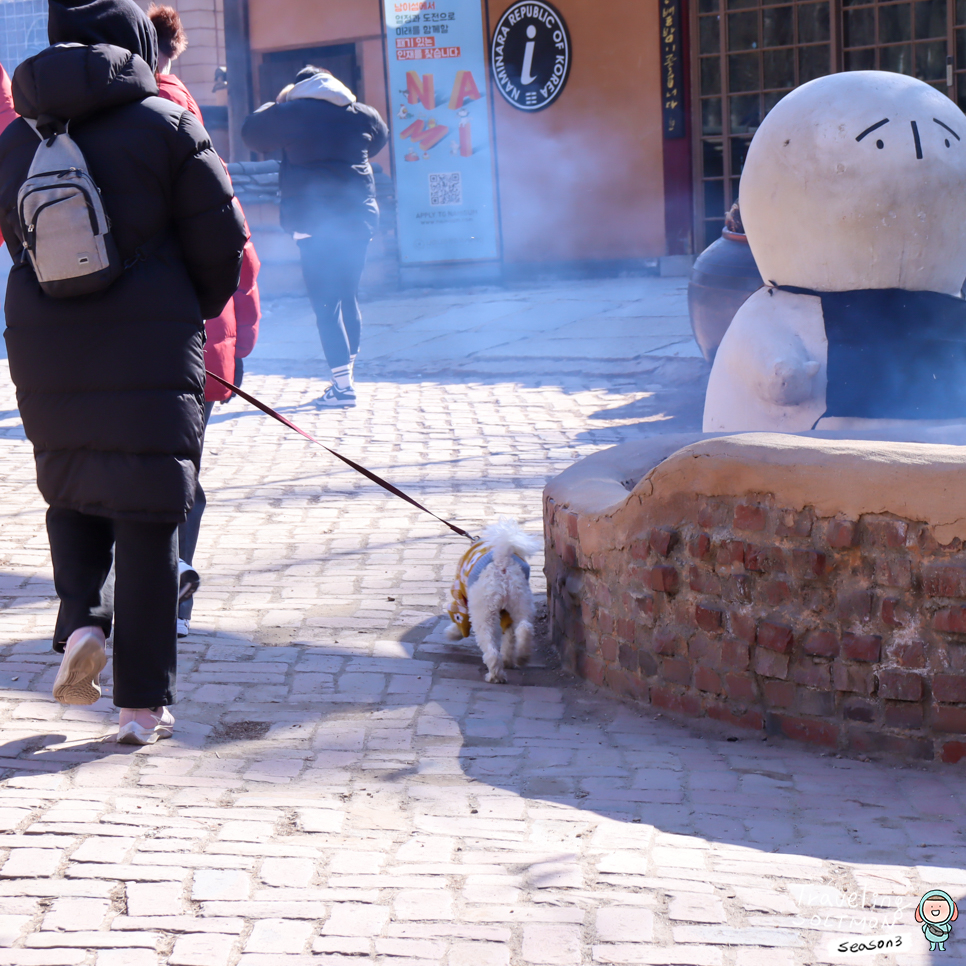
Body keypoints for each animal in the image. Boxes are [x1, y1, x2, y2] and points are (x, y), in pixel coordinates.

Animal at [444, 520, 540, 684]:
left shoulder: (462, 598)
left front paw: (452, 633)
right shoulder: (507, 614)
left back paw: (495, 675)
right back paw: (521, 657)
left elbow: (461, 619)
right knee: (524, 628)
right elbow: (509, 638)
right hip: (520, 602)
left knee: (491, 649)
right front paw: (508, 660)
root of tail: (502, 561)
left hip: (484, 611)